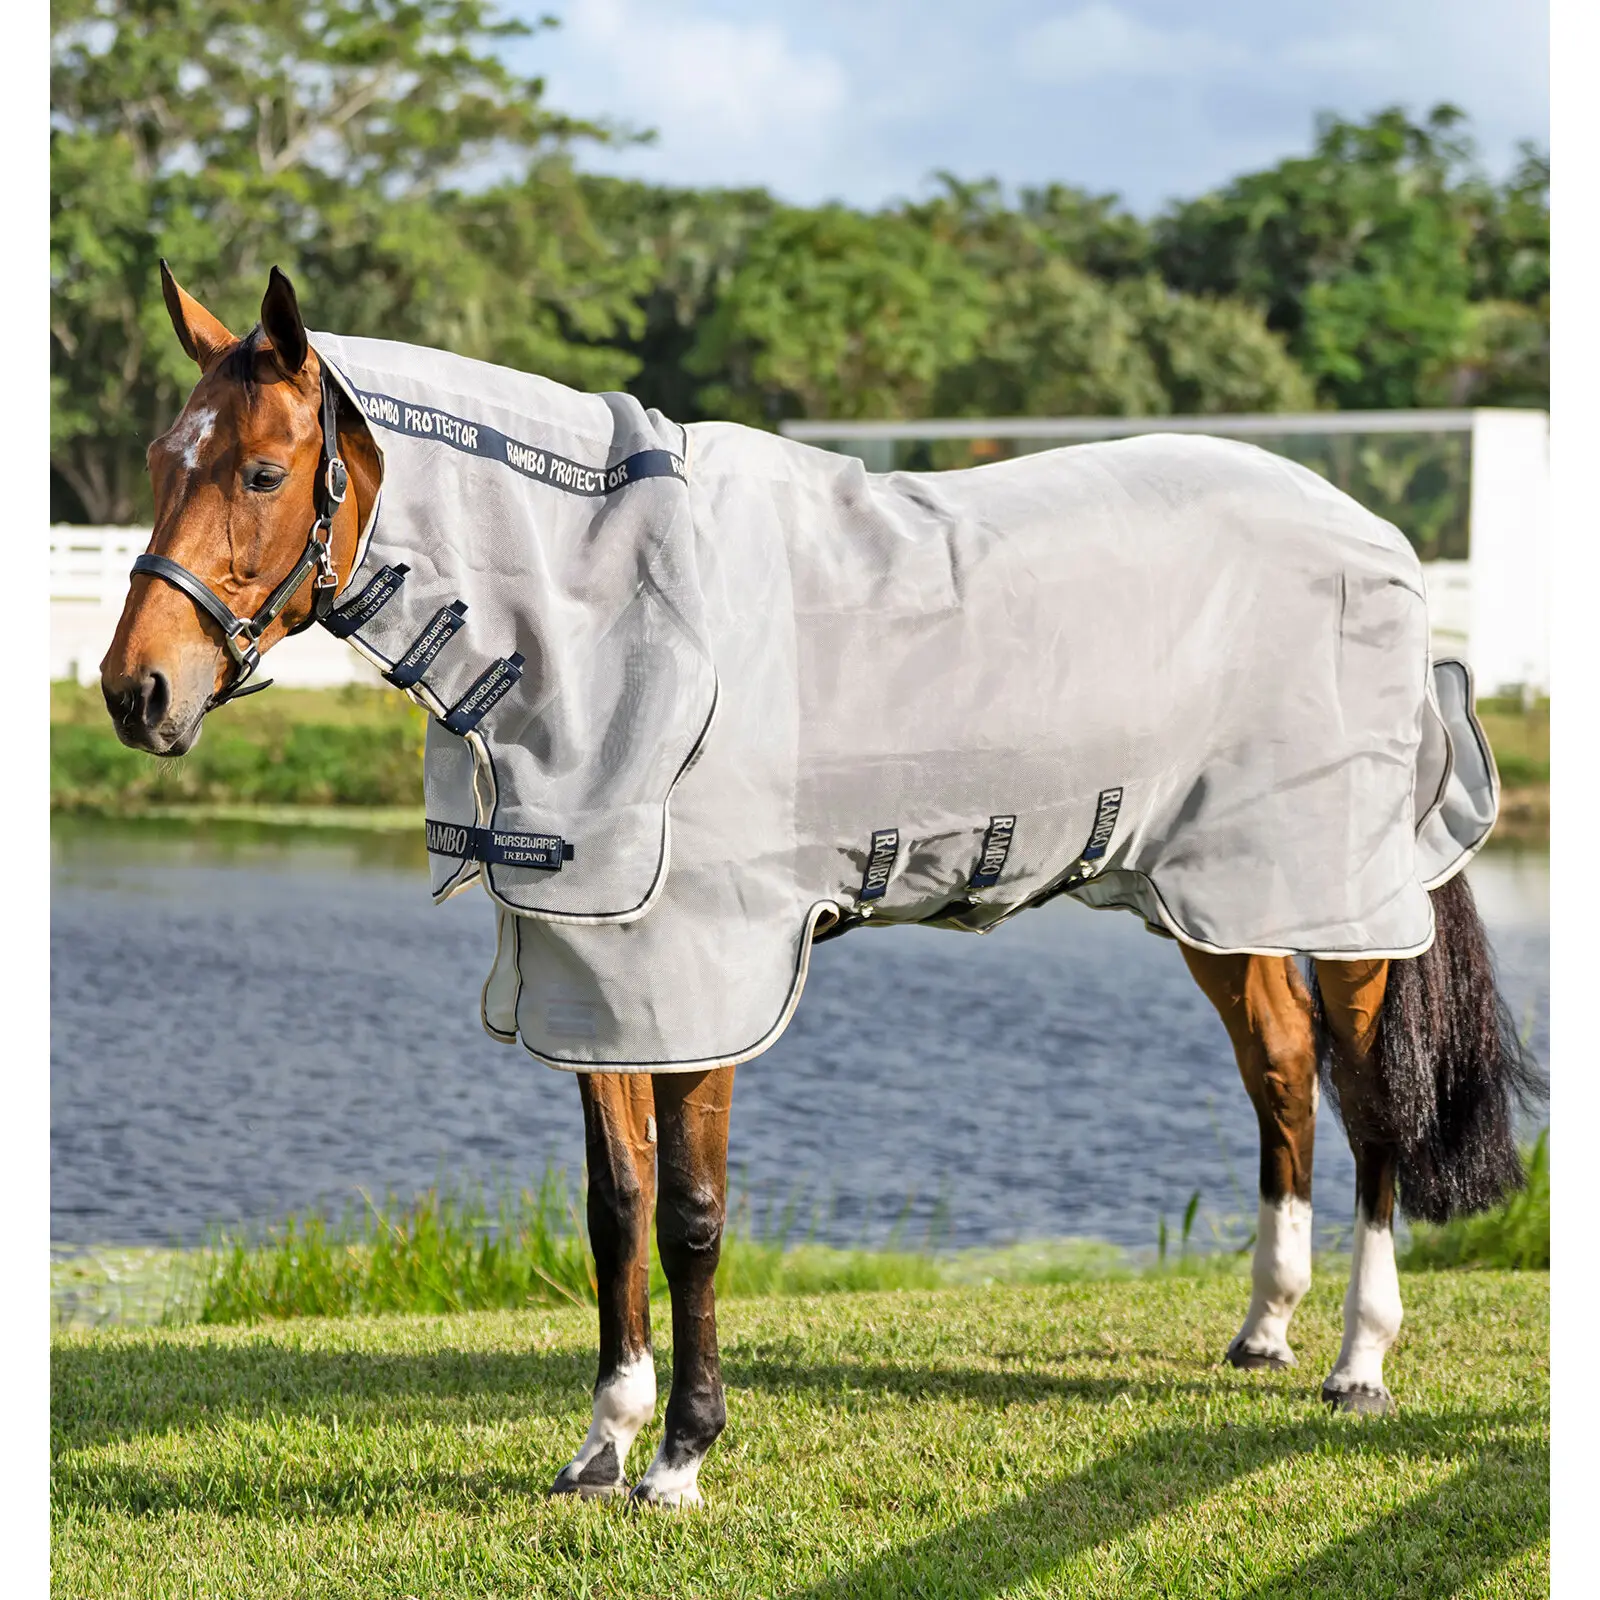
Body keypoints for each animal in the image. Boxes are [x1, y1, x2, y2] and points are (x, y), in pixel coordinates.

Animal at [100, 265, 1539, 1509]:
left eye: (263, 470)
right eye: (164, 463)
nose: (137, 693)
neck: (615, 627)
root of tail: (1377, 538)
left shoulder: (704, 981)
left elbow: (691, 1216)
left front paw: (682, 1456)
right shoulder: (599, 979)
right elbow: (613, 1210)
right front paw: (601, 1446)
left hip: (1334, 897)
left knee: (1371, 1104)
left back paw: (1358, 1361)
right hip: (1216, 895)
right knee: (1282, 1073)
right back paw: (1264, 1331)